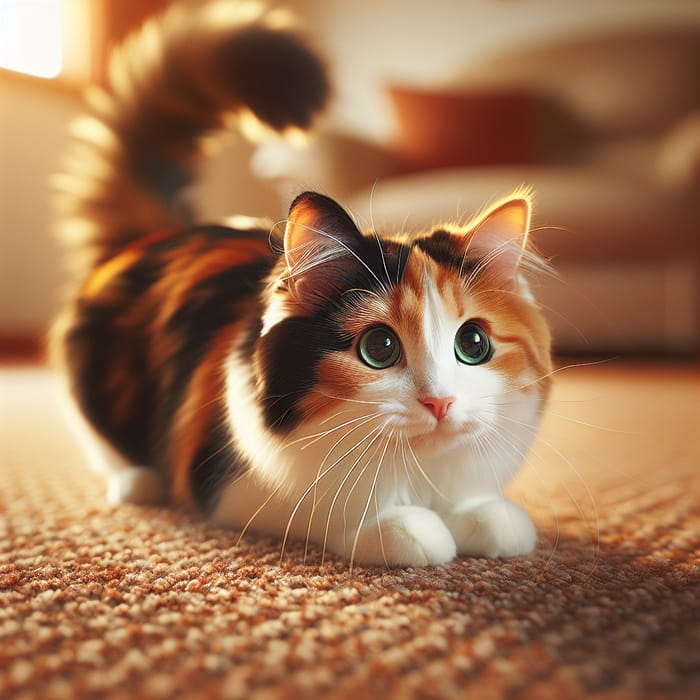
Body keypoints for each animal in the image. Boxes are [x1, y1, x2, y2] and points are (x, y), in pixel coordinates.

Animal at [52, 0, 552, 568]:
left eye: (473, 343)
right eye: (379, 348)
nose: (440, 403)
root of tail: (158, 232)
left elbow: (481, 506)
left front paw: (487, 518)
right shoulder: (227, 481)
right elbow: (328, 507)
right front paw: (402, 528)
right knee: (108, 449)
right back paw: (139, 482)